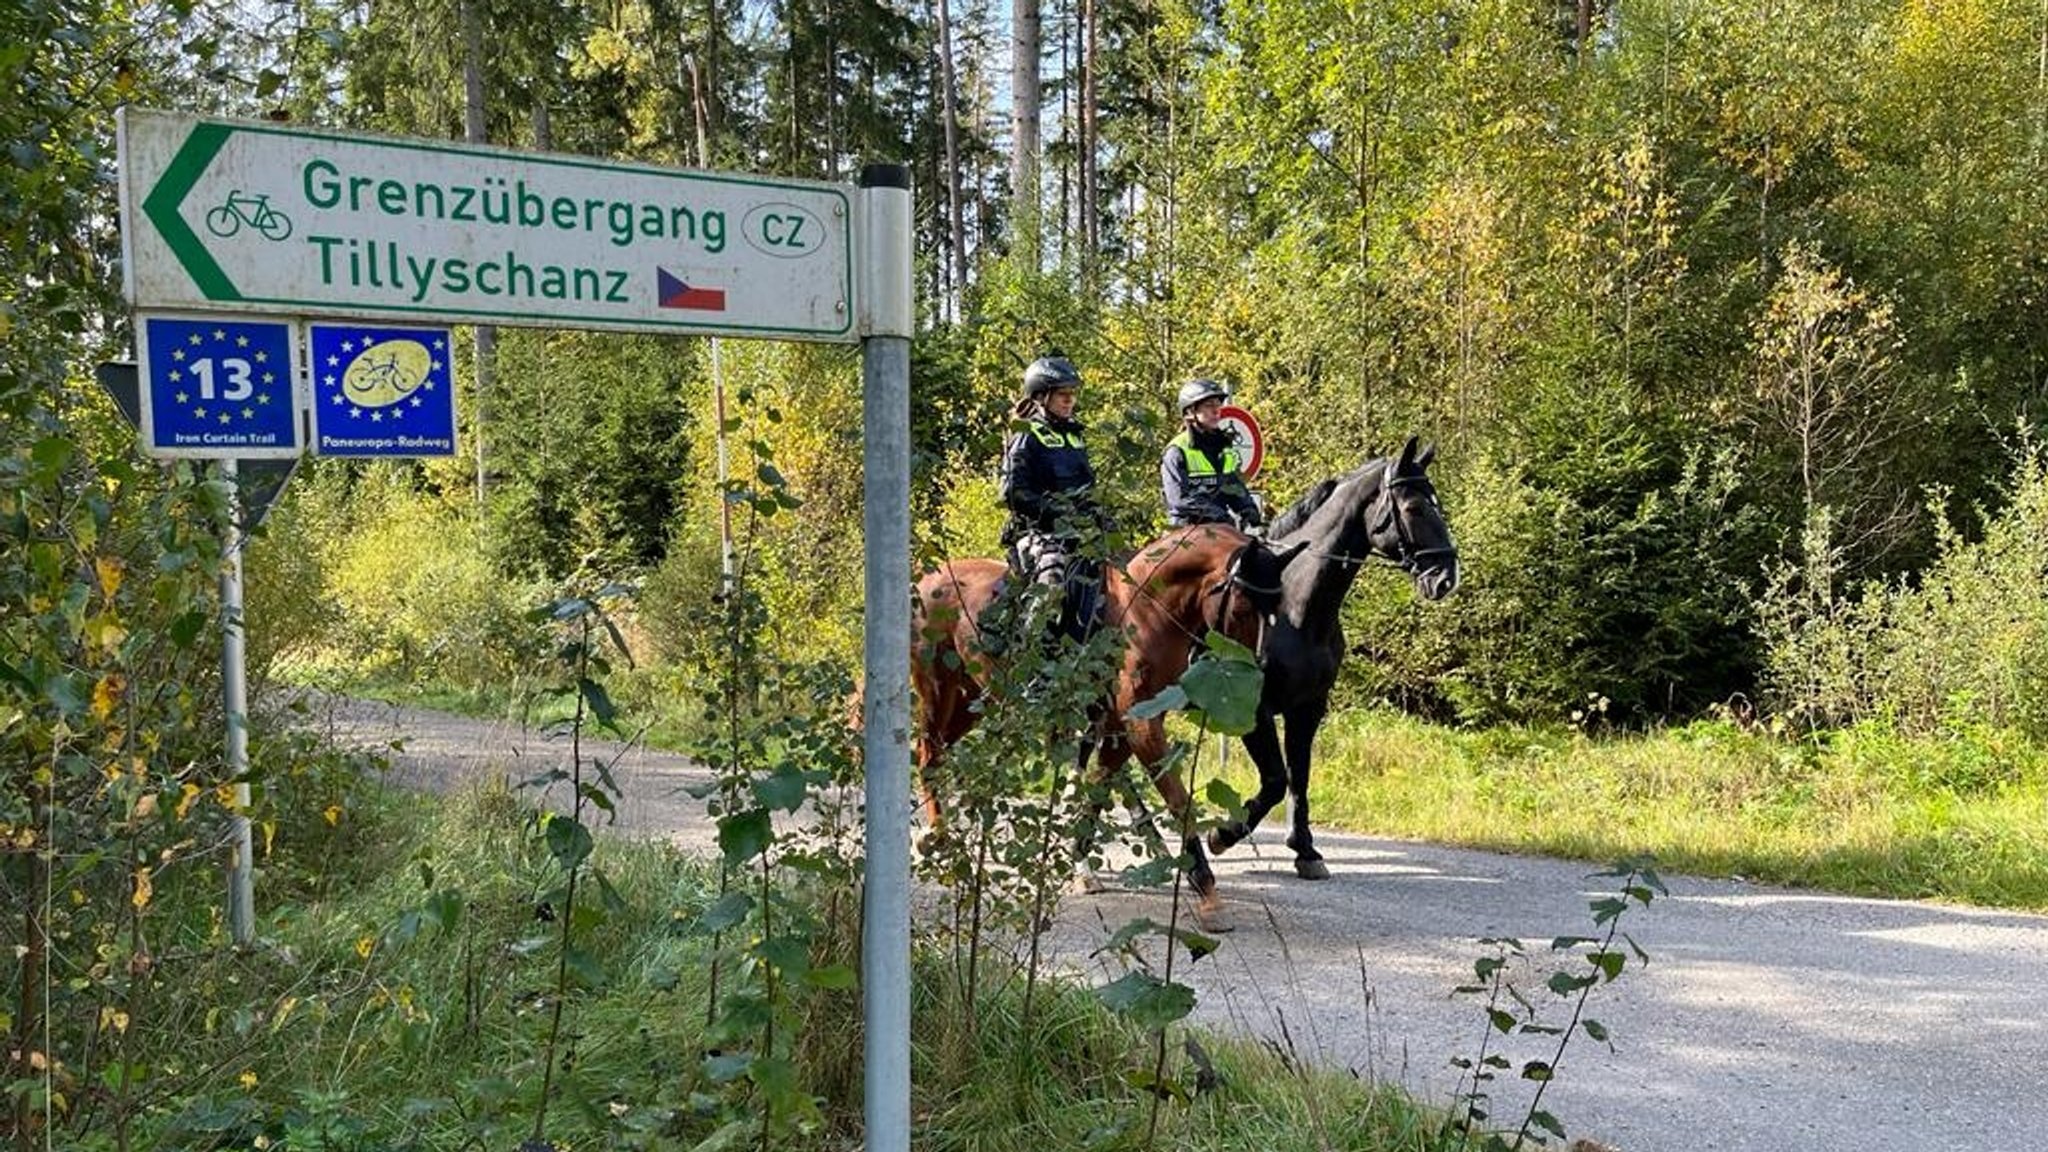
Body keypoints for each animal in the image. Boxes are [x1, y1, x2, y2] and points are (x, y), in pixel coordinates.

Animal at [1204, 434, 1466, 873]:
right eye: (1414, 507)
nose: (1445, 577)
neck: (1294, 607)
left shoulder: (1308, 706)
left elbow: (1299, 775)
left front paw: (1305, 849)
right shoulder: (1254, 708)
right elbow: (1276, 781)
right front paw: (1224, 834)